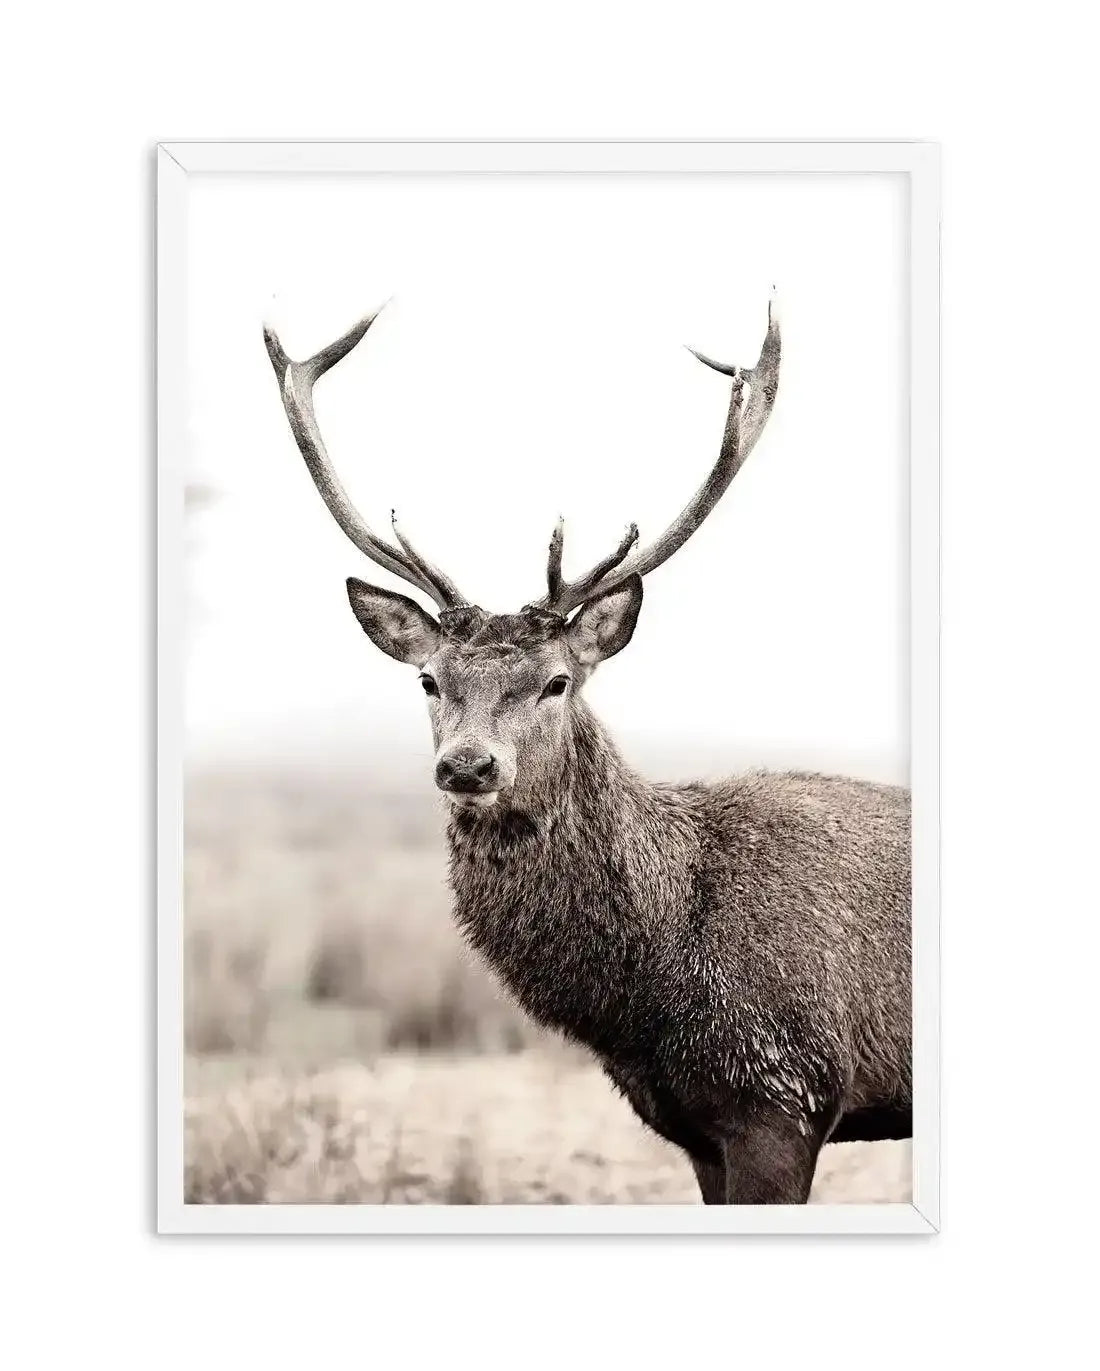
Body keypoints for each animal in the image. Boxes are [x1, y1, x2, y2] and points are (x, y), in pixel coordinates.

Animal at [263, 301, 911, 1205]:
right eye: (429, 679)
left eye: (557, 680)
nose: (468, 765)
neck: (651, 998)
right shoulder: (694, 1129)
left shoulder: (784, 1095)